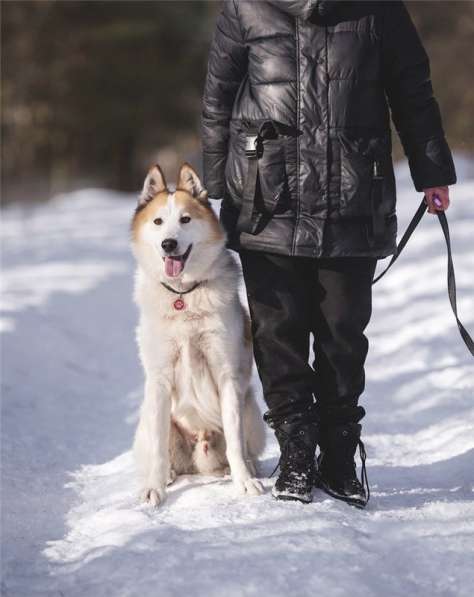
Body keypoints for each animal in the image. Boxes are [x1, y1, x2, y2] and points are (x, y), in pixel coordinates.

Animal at [131, 162, 264, 502]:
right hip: (147, 417)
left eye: (186, 219)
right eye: (158, 221)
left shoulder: (226, 373)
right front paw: (154, 489)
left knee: (243, 446)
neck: (184, 296)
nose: (168, 244)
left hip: (250, 409)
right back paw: (168, 475)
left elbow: (235, 440)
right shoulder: (160, 378)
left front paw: (244, 481)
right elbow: (159, 450)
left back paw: (246, 468)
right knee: (162, 453)